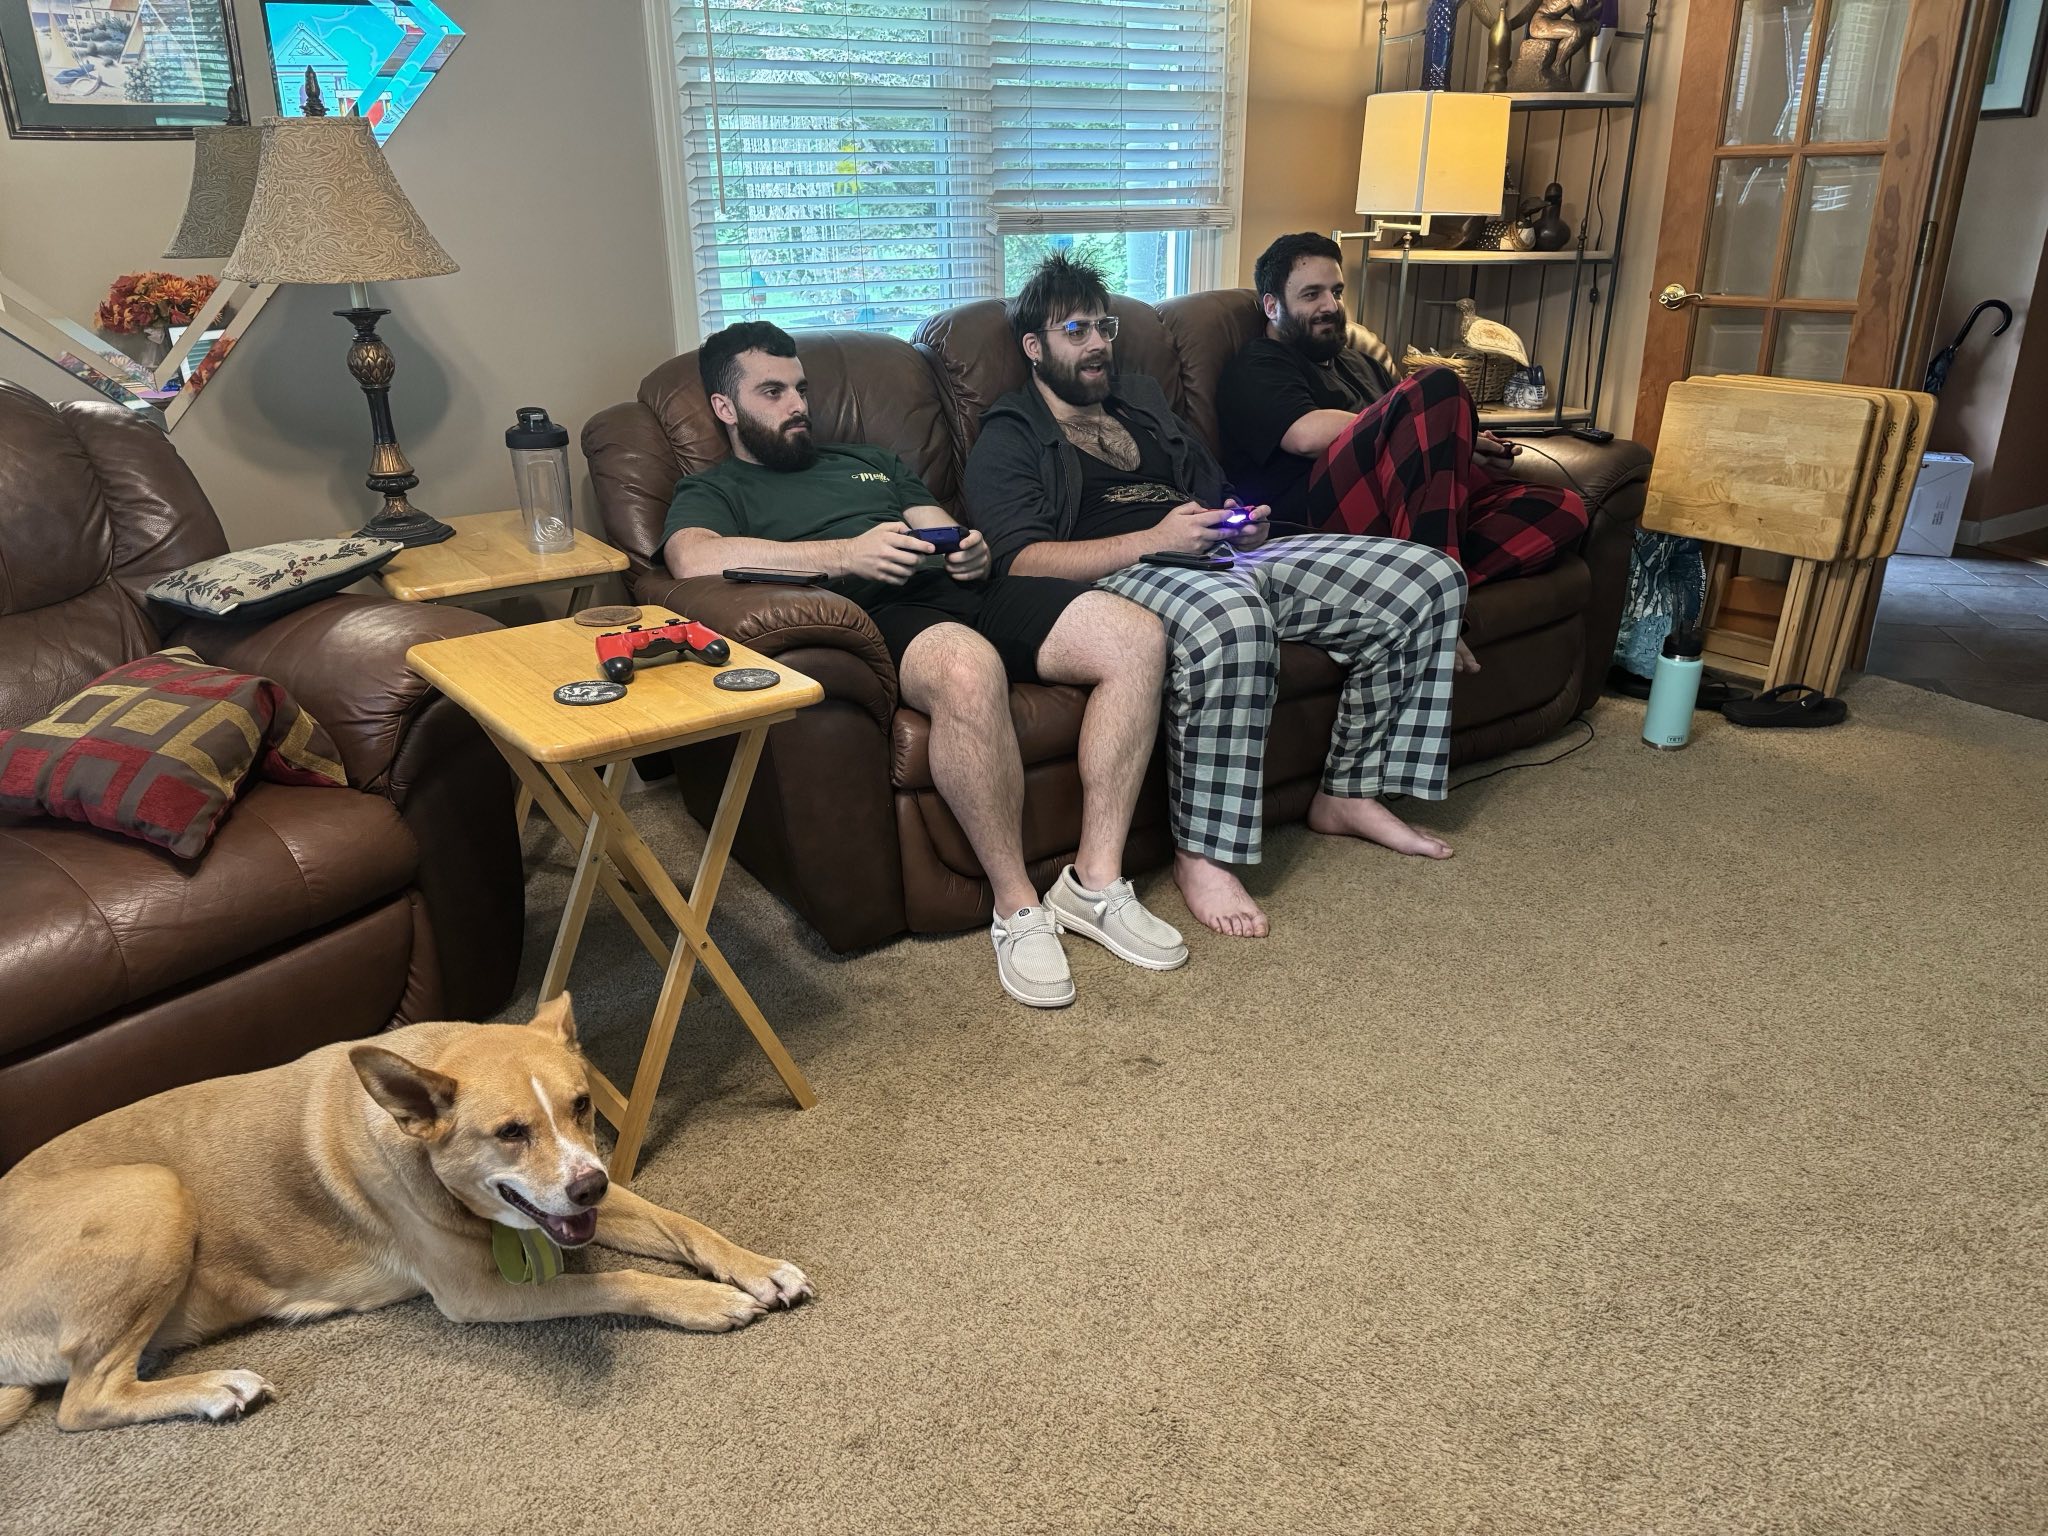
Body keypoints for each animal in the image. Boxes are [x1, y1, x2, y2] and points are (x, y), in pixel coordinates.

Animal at [0, 991, 811, 1441]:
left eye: (582, 1105)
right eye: (510, 1132)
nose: (590, 1189)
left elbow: (685, 1225)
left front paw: (758, 1270)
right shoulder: (478, 1293)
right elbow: (616, 1284)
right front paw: (706, 1302)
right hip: (152, 1190)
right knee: (83, 1402)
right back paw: (216, 1389)